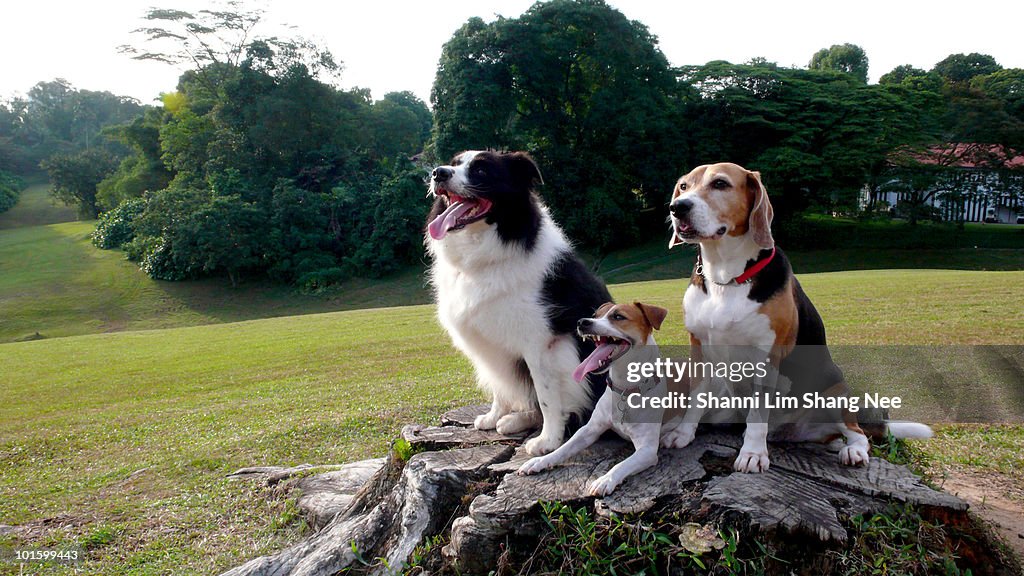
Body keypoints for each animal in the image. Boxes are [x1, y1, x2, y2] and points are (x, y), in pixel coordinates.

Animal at [516, 301, 684, 494]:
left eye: (618, 316)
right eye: (595, 315)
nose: (582, 322)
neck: (624, 389)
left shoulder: (647, 450)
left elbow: (621, 465)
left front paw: (605, 480)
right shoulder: (589, 430)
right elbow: (564, 449)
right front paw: (540, 461)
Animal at [663, 161, 929, 471]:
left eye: (720, 184)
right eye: (684, 186)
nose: (677, 207)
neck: (726, 277)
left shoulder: (766, 355)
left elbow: (758, 415)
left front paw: (753, 453)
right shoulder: (699, 347)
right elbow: (696, 397)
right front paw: (683, 433)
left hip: (834, 390)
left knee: (858, 433)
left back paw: (853, 451)